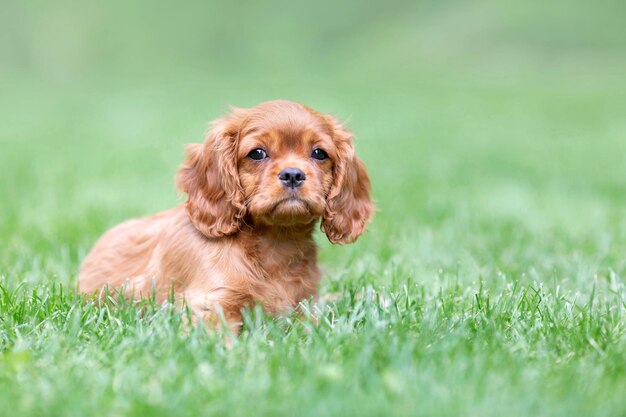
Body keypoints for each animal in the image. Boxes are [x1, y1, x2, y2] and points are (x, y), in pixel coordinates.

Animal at [77, 99, 370, 330]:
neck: (276, 242)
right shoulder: (210, 304)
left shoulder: (304, 306)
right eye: (257, 153)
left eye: (319, 153)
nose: (293, 174)